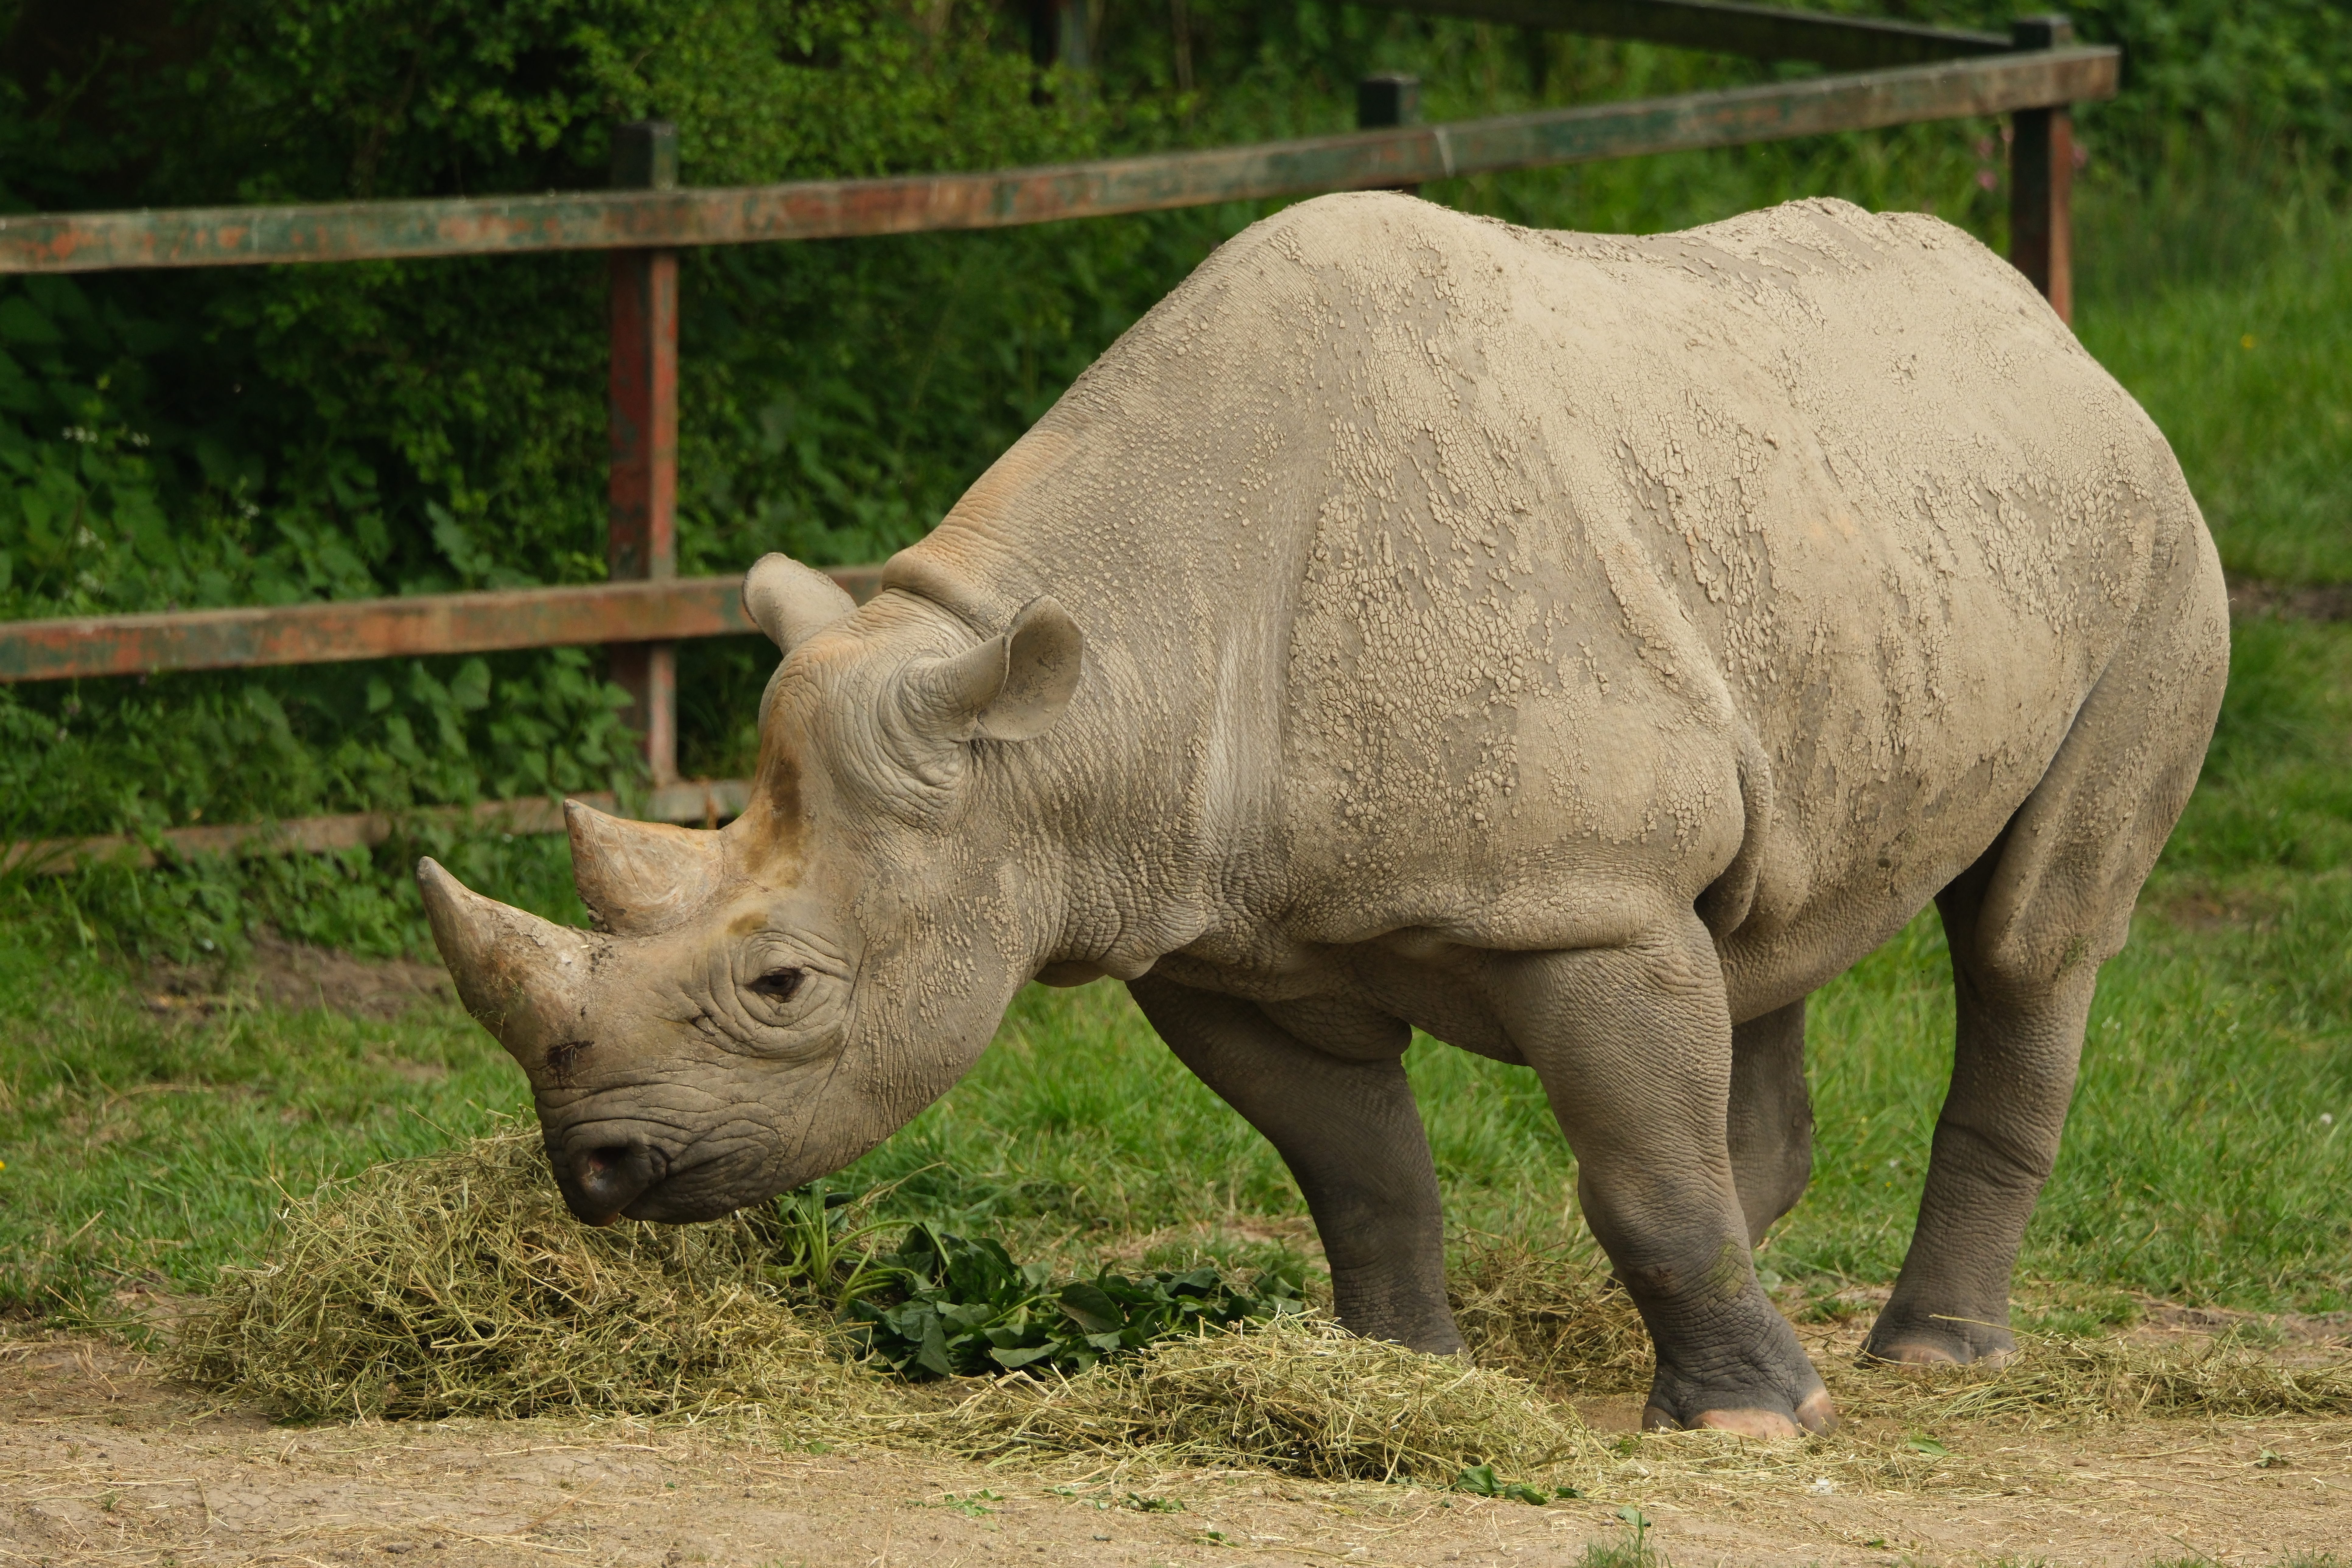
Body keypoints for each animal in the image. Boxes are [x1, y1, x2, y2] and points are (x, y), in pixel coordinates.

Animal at [419, 193, 2228, 1439]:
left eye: (784, 988)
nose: (593, 1168)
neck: (1073, 711)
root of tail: (2053, 331)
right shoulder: (1213, 939)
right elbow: (1362, 1172)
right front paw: (1402, 1371)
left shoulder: (1579, 900)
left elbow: (1640, 1163)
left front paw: (1745, 1427)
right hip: (1867, 532)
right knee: (1758, 923)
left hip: (2154, 540)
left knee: (2030, 937)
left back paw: (1927, 1355)